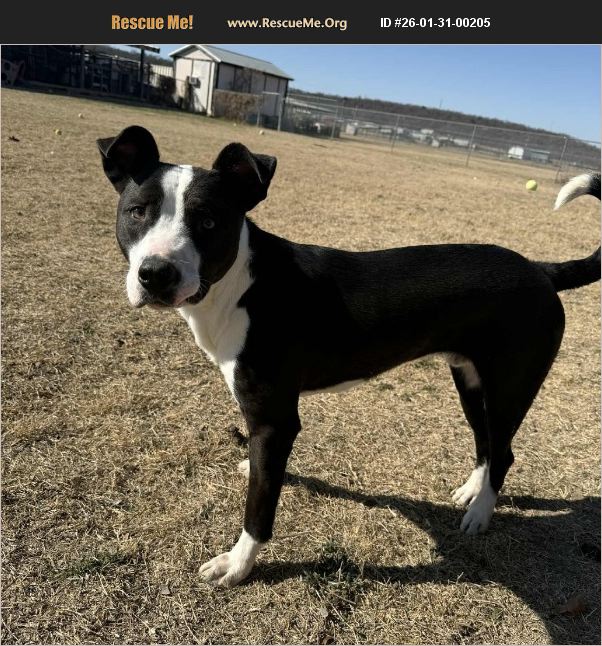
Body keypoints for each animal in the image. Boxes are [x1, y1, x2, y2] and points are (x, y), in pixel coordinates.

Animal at [98, 125, 600, 587]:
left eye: (208, 222)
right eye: (137, 212)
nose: (156, 274)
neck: (243, 284)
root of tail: (540, 270)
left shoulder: (275, 421)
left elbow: (259, 510)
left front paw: (238, 565)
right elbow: (263, 475)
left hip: (509, 387)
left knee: (505, 452)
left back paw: (481, 514)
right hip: (470, 381)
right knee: (488, 444)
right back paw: (472, 493)